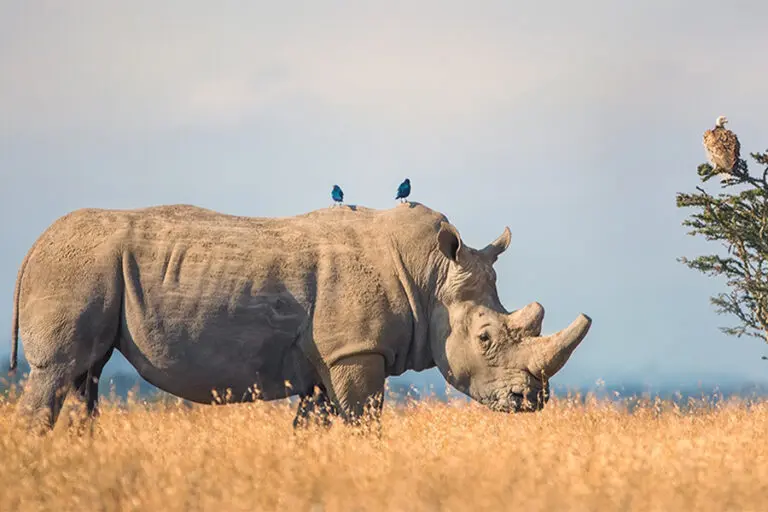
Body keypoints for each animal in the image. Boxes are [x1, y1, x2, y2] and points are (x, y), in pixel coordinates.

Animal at [9, 202, 591, 431]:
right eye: (487, 338)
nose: (531, 400)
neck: (429, 278)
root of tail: (31, 248)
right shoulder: (355, 352)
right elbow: (364, 422)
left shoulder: (329, 360)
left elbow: (316, 426)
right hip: (75, 268)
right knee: (58, 372)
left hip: (92, 271)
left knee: (86, 377)